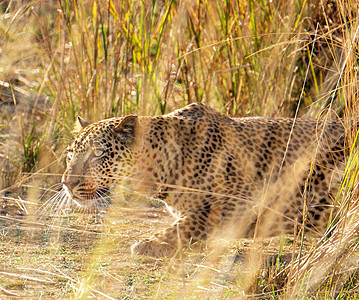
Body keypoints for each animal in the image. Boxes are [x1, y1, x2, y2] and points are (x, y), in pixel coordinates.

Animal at [62, 102, 348, 255]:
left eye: (98, 153)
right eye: (70, 154)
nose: (67, 183)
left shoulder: (243, 204)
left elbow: (189, 223)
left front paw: (149, 243)